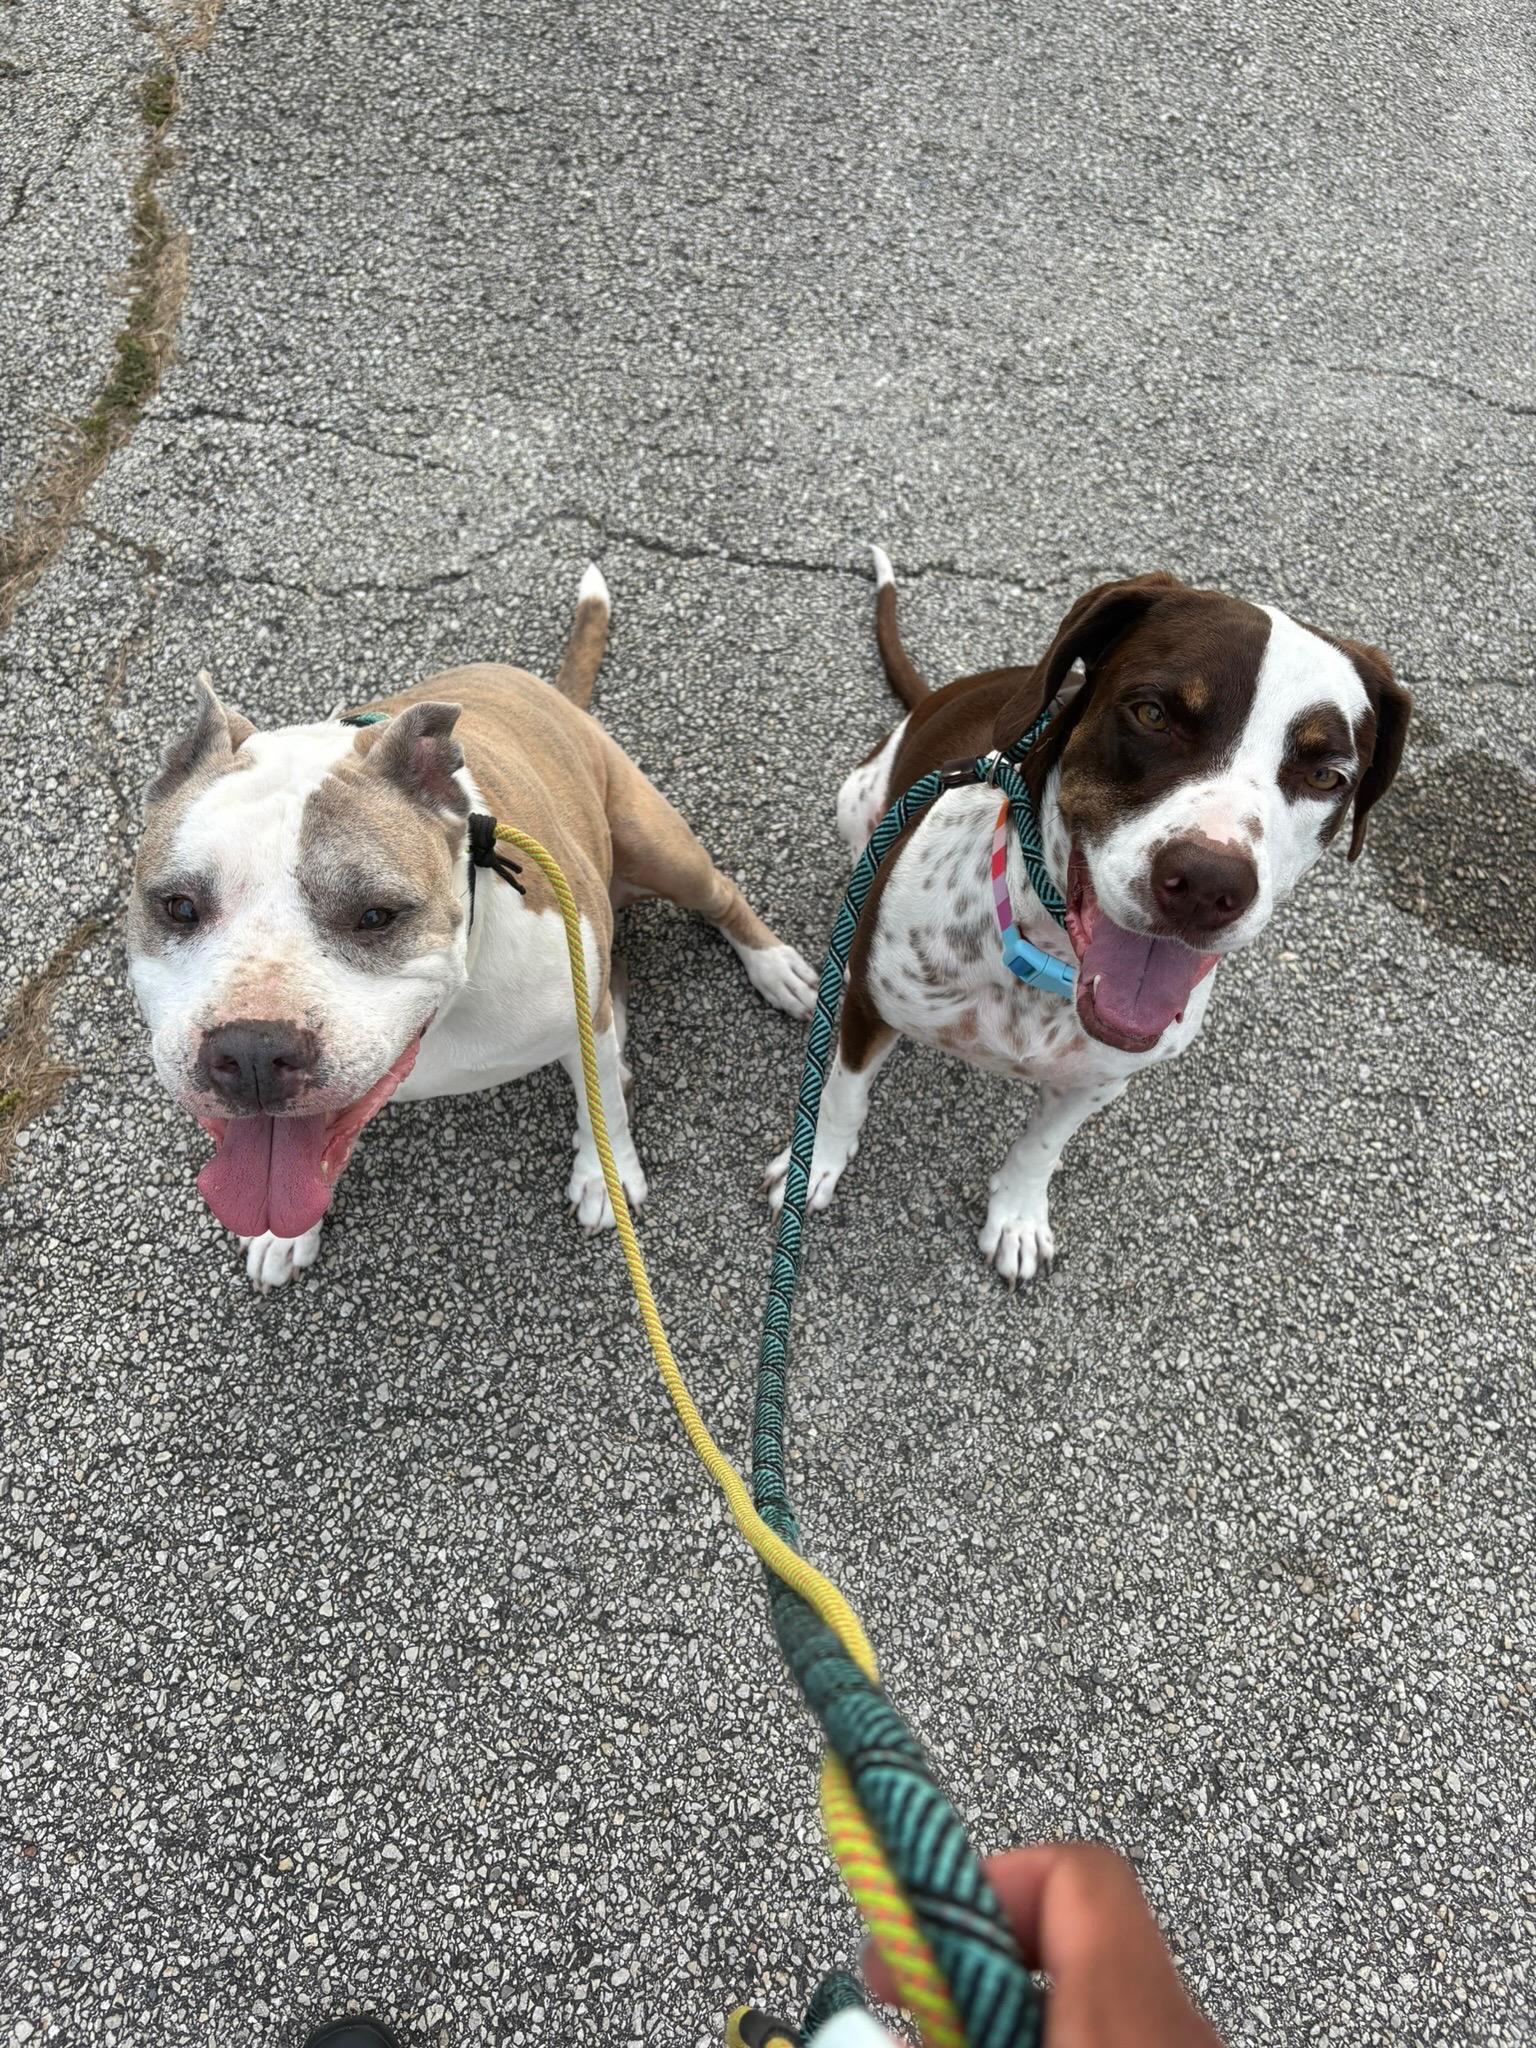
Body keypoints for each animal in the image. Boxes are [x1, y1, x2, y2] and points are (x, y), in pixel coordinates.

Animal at [128, 568, 816, 1289]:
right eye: (178, 907)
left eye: (376, 915)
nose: (254, 1053)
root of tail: (551, 693)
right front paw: (286, 1234)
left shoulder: (579, 1011)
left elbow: (603, 1106)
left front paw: (604, 1172)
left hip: (660, 849)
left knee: (719, 900)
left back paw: (776, 970)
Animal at [765, 554, 1410, 1283]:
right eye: (1152, 713)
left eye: (1327, 775)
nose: (1208, 884)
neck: (1044, 964)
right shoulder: (868, 1012)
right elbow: (842, 1095)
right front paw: (816, 1166)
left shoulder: (1100, 1080)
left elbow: (1042, 1146)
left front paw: (1017, 1215)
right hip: (857, 801)